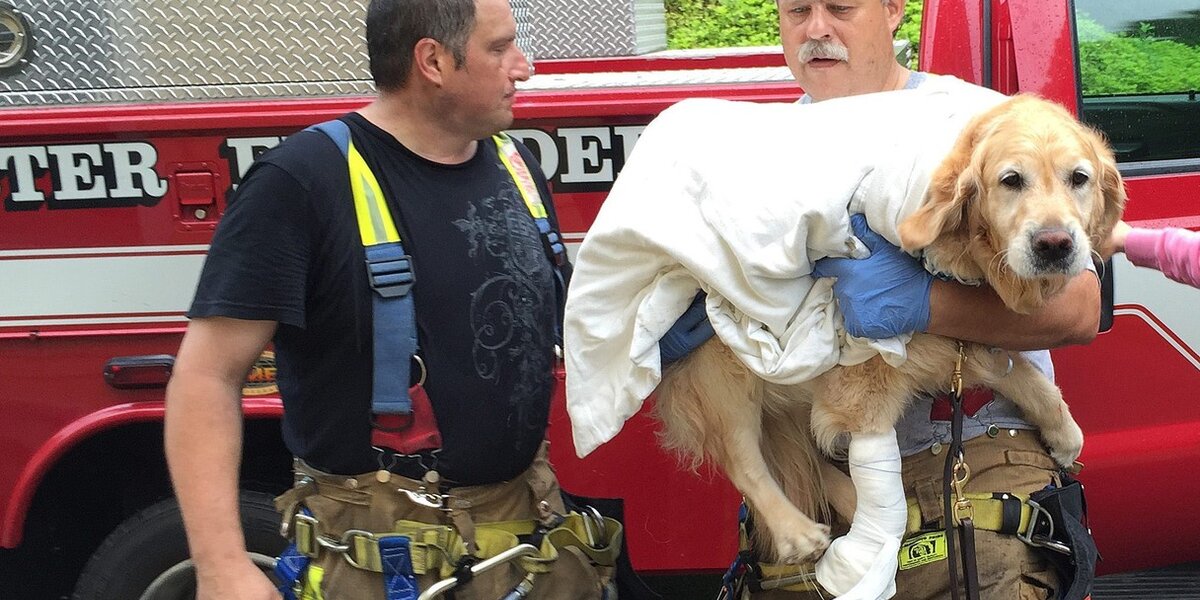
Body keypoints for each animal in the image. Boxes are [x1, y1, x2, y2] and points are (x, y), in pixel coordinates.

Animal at [652, 94, 1128, 566]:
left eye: (1079, 178)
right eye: (1011, 180)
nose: (1055, 245)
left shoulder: (954, 345)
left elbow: (1025, 376)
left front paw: (1064, 434)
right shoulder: (862, 381)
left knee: (811, 459)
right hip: (723, 369)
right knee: (743, 457)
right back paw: (798, 534)